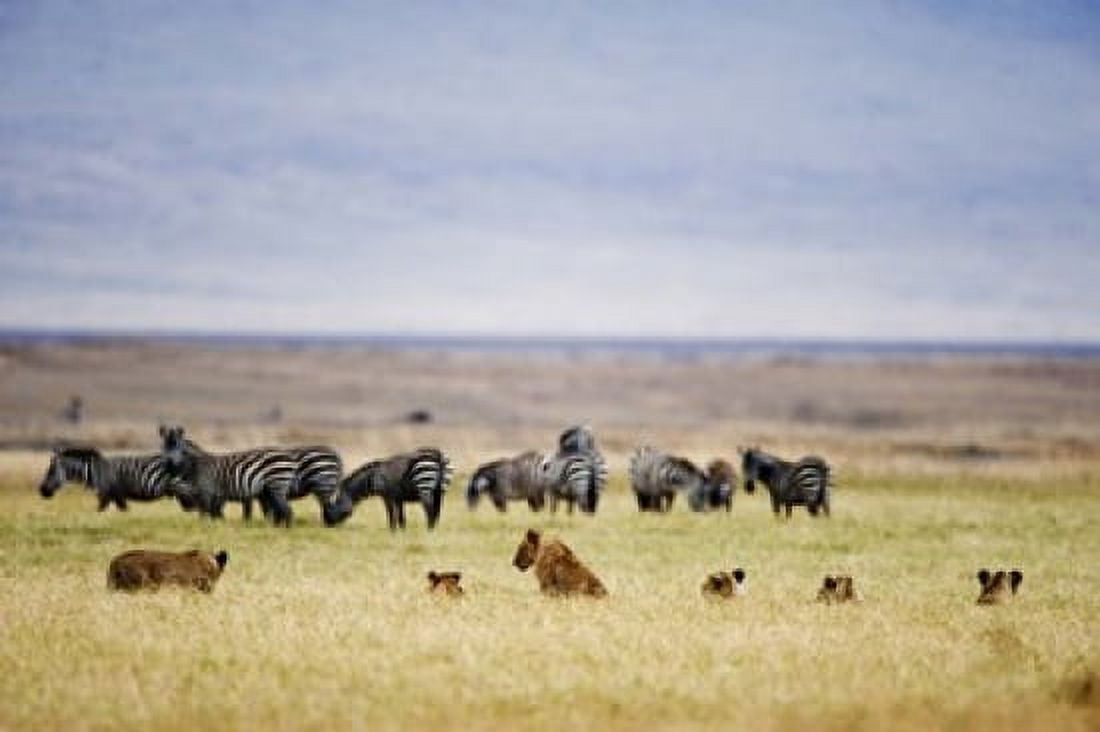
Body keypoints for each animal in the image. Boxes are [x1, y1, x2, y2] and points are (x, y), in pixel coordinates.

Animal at [38, 444, 186, 511]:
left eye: (50, 472)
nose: (42, 492)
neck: (94, 471)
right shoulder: (114, 495)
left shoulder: (110, 493)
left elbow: (103, 510)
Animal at [158, 425, 348, 527]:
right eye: (163, 448)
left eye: (179, 449)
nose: (169, 466)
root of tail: (336, 455)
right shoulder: (254, 494)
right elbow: (259, 513)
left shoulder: (214, 492)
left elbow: (211, 512)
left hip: (318, 485)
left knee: (324, 508)